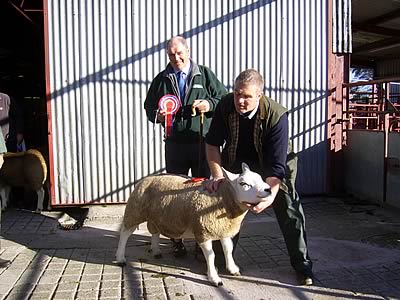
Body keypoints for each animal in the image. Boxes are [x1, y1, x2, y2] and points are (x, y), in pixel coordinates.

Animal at [115, 163, 272, 288]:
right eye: (243, 184)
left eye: (260, 178)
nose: (269, 189)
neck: (222, 198)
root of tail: (146, 178)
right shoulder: (203, 231)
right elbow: (211, 255)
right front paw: (214, 278)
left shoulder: (222, 228)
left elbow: (228, 249)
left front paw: (232, 269)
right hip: (135, 210)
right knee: (124, 233)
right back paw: (120, 258)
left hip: (156, 215)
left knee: (154, 231)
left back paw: (156, 251)